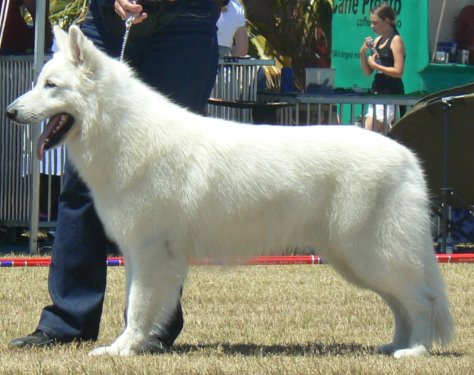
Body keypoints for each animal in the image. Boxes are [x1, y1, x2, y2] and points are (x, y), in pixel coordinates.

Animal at [4, 26, 456, 358]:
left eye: (51, 85)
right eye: (39, 82)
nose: (9, 112)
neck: (120, 129)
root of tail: (406, 156)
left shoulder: (150, 254)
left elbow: (137, 308)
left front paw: (121, 350)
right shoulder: (138, 255)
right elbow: (139, 307)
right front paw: (138, 346)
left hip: (371, 254)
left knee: (423, 299)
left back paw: (415, 350)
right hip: (358, 260)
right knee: (402, 303)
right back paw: (395, 345)